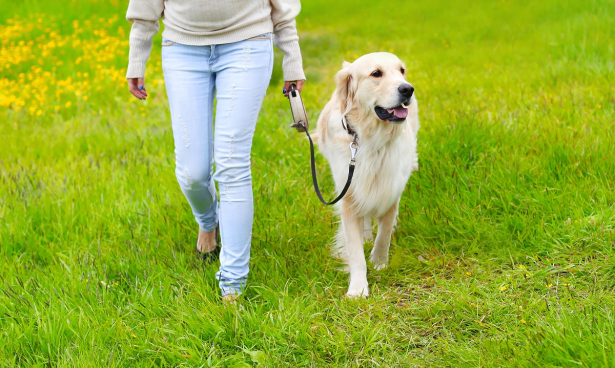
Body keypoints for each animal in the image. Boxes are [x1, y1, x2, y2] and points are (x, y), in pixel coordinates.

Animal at [312, 52, 418, 300]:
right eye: (376, 73)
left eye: (402, 70)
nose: (408, 89)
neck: (373, 141)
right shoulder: (349, 194)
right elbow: (355, 250)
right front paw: (358, 288)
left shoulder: (391, 188)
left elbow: (385, 232)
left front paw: (379, 262)